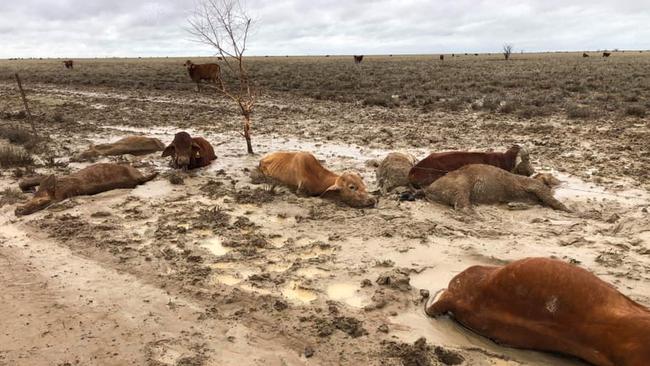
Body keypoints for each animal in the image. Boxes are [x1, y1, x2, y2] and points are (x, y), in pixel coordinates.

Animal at [420, 165, 568, 213]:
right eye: (552, 177)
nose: (563, 182)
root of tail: (428, 190)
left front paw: (514, 205)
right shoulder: (536, 186)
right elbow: (553, 201)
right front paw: (572, 211)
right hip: (460, 183)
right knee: (462, 202)